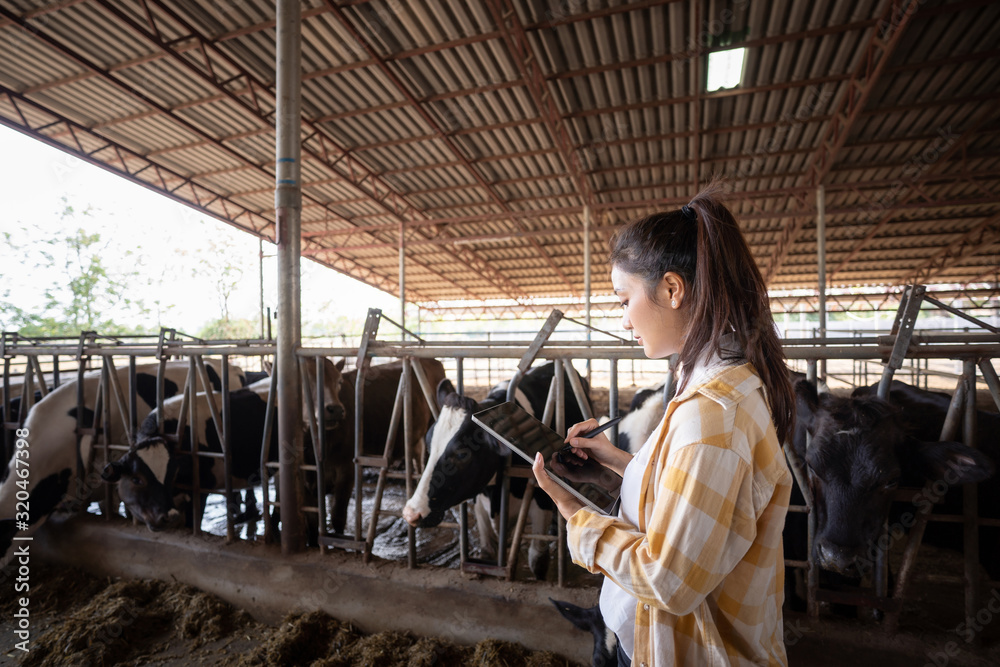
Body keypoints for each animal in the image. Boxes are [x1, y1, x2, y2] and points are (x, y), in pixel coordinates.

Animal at [402, 360, 592, 580]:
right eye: (428, 443)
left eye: (462, 454)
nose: (411, 514)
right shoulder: (480, 500)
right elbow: (487, 551)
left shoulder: (540, 499)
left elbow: (537, 559)